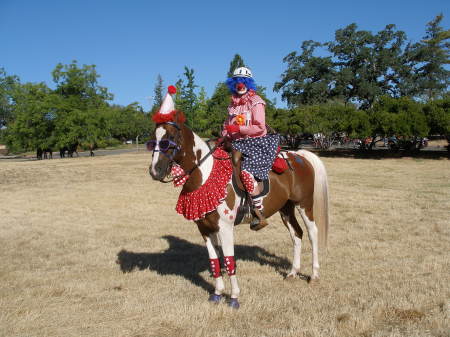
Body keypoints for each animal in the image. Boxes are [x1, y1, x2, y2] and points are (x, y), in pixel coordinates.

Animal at [149, 110, 328, 308]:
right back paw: (293, 272)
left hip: (304, 204)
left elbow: (229, 261)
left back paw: (314, 275)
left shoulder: (225, 228)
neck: (206, 176)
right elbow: (214, 261)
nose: (155, 171)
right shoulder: (204, 229)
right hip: (286, 209)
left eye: (170, 138)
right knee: (296, 234)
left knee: (312, 233)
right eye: (153, 140)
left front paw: (234, 297)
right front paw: (217, 293)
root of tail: (299, 155)